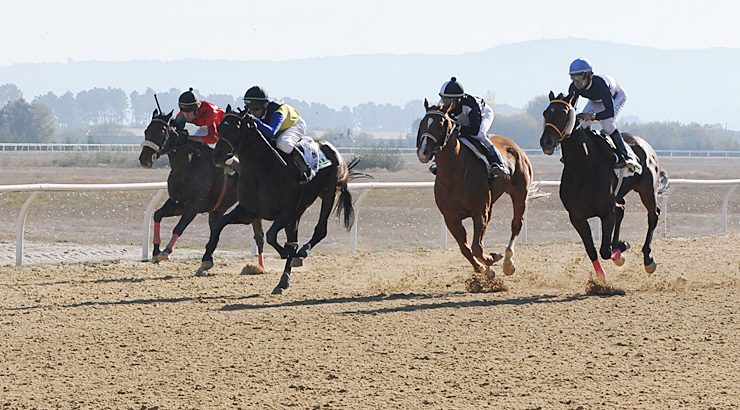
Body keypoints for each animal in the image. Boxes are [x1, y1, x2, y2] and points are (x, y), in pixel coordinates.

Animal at [139, 109, 266, 270]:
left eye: (161, 132)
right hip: (219, 209)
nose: (144, 159)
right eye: (146, 130)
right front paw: (156, 250)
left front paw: (166, 251)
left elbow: (179, 227)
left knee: (258, 235)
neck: (188, 165)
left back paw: (260, 267)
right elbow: (157, 215)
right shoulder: (177, 203)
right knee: (218, 229)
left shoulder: (193, 206)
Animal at [197, 104, 358, 294]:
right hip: (301, 209)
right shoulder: (249, 211)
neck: (262, 170)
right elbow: (220, 224)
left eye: (235, 128)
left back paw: (296, 261)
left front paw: (286, 256)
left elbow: (272, 236)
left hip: (328, 194)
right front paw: (206, 260)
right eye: (220, 128)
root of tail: (334, 151)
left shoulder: (286, 212)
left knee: (319, 230)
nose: (217, 156)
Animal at [416, 101, 532, 278]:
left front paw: (490, 260)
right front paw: (484, 268)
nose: (423, 152)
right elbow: (465, 248)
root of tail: (514, 146)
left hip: (519, 193)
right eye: (423, 123)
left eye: (441, 124)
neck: (453, 175)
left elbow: (476, 247)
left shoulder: (479, 212)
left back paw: (508, 262)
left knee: (516, 224)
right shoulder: (450, 218)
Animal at [536, 90, 672, 282]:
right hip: (620, 194)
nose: (546, 142)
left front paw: (621, 250)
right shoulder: (576, 217)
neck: (583, 168)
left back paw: (648, 259)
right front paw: (601, 275)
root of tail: (644, 144)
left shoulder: (606, 213)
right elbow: (592, 249)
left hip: (647, 189)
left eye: (563, 114)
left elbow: (605, 251)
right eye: (545, 113)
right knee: (622, 209)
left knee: (653, 215)